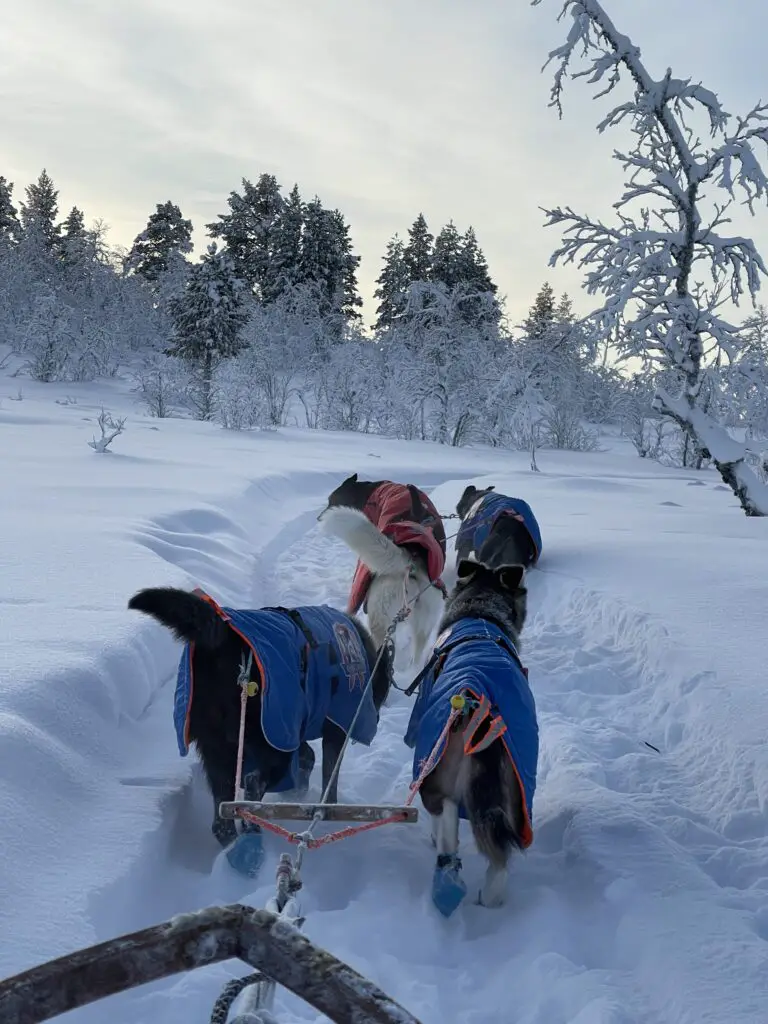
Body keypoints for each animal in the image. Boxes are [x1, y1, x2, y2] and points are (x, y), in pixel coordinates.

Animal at [319, 473, 450, 667]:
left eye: (331, 500)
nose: (319, 517)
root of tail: (411, 560)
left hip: (380, 620)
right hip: (424, 624)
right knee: (418, 651)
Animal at [405, 565, 536, 917]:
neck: (481, 610)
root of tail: (481, 708)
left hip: (434, 770)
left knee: (446, 815)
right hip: (516, 788)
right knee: (499, 858)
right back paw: (489, 897)